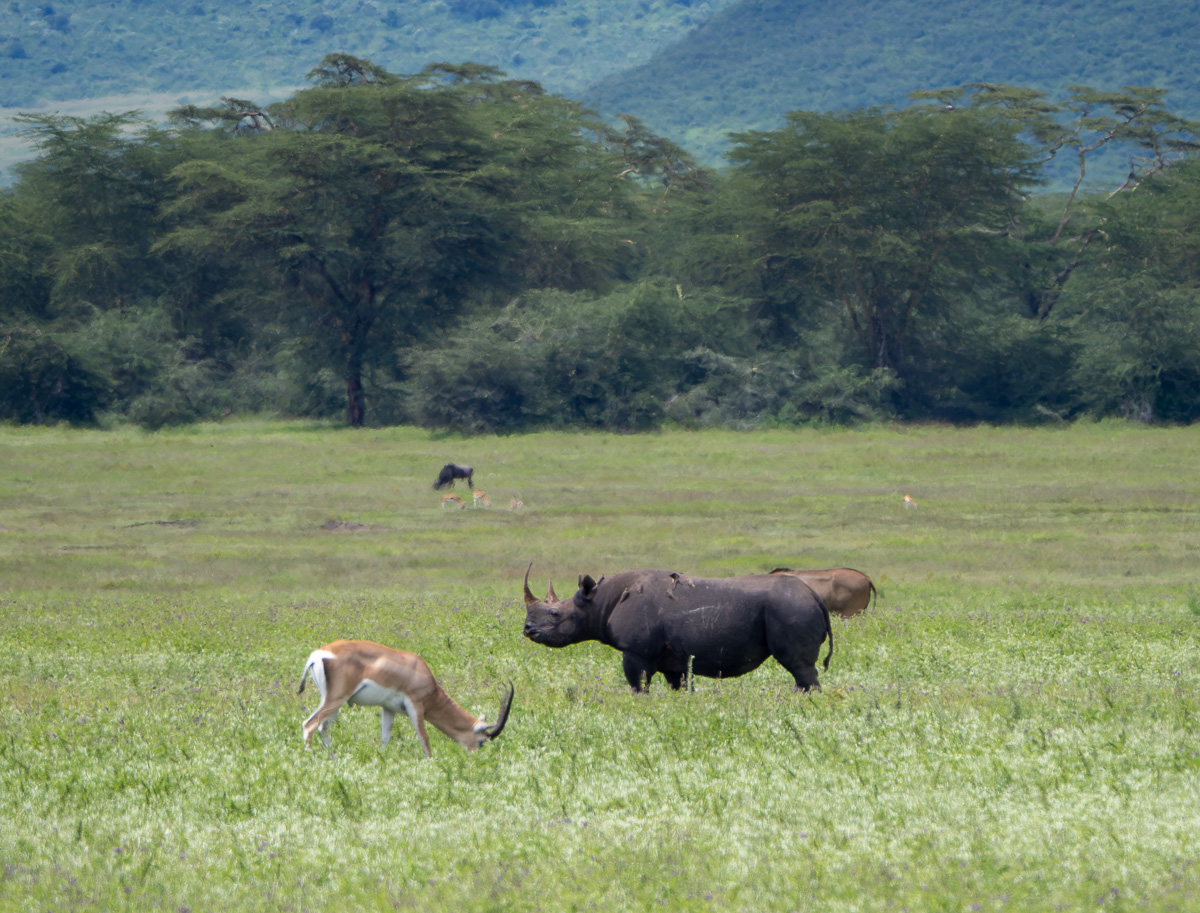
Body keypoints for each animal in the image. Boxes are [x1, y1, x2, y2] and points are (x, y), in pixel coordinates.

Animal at [522, 566, 833, 692]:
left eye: (555, 613)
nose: (528, 630)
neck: (597, 602)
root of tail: (815, 596)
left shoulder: (635, 651)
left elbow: (638, 685)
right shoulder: (674, 661)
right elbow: (680, 688)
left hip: (791, 607)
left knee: (800, 667)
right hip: (794, 605)